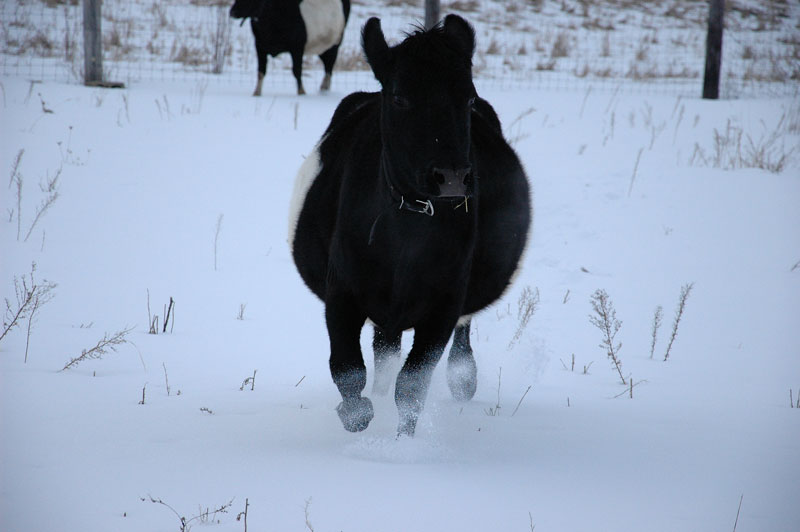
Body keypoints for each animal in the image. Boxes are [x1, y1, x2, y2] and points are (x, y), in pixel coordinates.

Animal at [289, 15, 531, 437]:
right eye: (401, 98)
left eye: (468, 99)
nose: (452, 177)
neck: (407, 234)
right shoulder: (342, 291)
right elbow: (347, 370)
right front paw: (358, 417)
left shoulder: (444, 304)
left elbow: (413, 385)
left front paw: (402, 443)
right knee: (383, 350)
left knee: (454, 342)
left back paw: (463, 380)